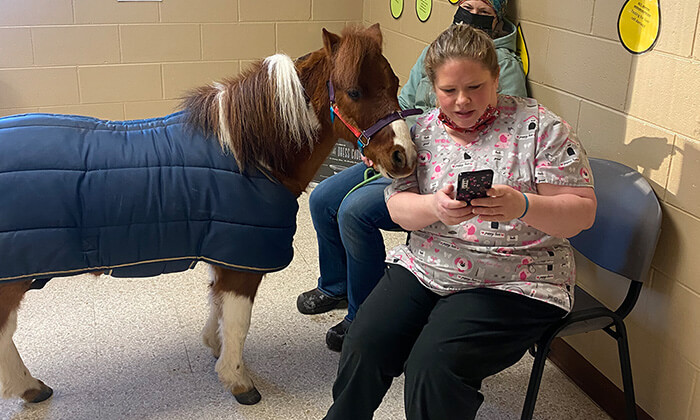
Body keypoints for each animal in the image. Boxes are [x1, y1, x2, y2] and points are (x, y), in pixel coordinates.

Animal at [0, 24, 416, 406]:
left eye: (394, 81)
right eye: (354, 91)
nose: (404, 156)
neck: (248, 156)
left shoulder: (225, 254)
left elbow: (218, 308)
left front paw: (215, 349)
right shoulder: (242, 265)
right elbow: (238, 322)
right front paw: (237, 379)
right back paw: (30, 387)